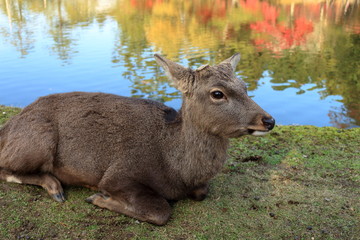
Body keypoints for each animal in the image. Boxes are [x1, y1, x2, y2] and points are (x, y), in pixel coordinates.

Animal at [0, 53, 276, 226]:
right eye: (217, 93)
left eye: (244, 86)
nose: (269, 120)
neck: (177, 170)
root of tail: (7, 127)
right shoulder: (118, 173)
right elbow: (161, 211)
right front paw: (99, 197)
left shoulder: (197, 186)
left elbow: (202, 192)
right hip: (37, 141)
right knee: (7, 168)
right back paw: (55, 188)